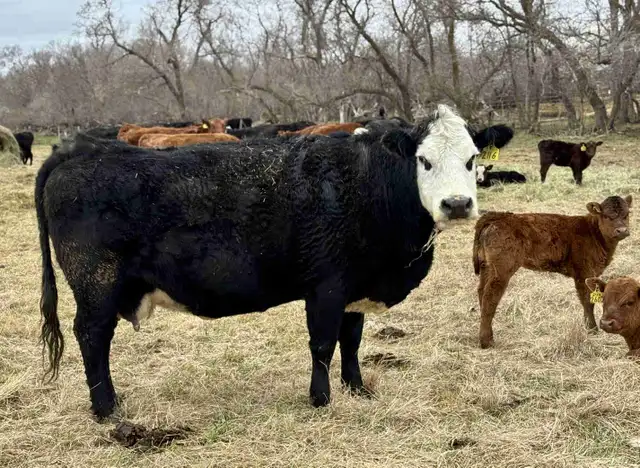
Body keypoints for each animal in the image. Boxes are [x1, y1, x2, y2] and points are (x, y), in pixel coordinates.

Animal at [35, 104, 514, 420]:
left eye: (472, 159)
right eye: (423, 160)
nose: (457, 205)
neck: (368, 184)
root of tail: (80, 151)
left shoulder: (354, 286)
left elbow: (351, 340)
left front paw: (357, 389)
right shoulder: (326, 287)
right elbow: (322, 344)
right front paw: (321, 400)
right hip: (97, 284)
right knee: (92, 337)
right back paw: (106, 409)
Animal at [473, 195, 632, 349]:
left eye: (626, 214)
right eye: (607, 216)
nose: (622, 230)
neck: (593, 232)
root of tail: (498, 216)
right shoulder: (584, 272)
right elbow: (587, 301)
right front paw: (592, 329)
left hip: (487, 267)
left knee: (481, 291)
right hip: (501, 269)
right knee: (490, 297)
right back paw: (487, 342)